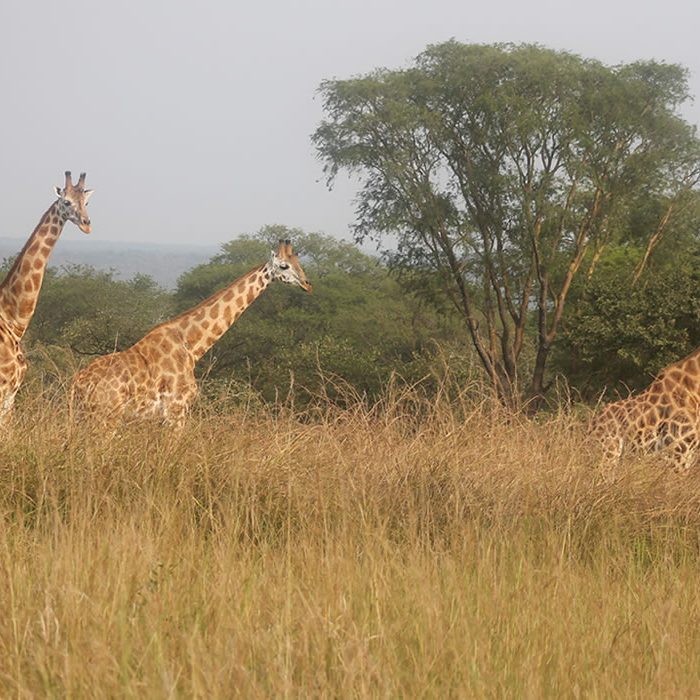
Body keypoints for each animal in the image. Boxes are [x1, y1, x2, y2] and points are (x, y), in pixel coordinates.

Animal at [0, 172, 93, 418]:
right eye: (66, 202)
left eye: (86, 202)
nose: (86, 225)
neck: (14, 320)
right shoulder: (3, 389)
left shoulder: (11, 394)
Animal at [71, 239, 312, 426]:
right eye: (284, 266)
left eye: (299, 263)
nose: (307, 284)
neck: (191, 346)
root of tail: (78, 384)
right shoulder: (177, 409)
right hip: (106, 416)